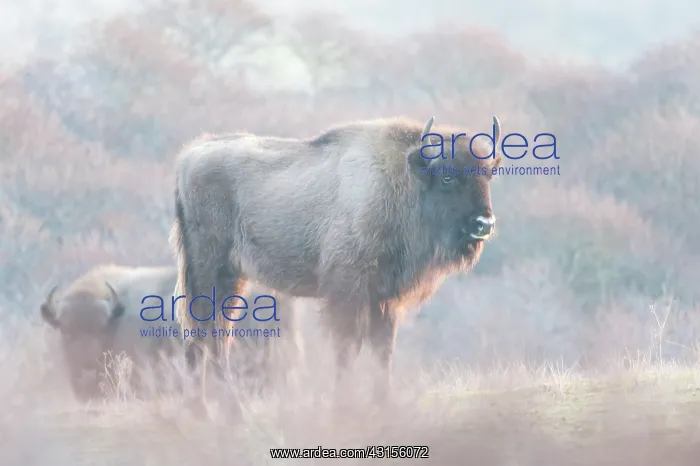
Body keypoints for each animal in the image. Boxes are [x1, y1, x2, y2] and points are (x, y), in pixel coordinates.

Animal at [171, 115, 502, 403]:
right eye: (447, 177)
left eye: (486, 175)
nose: (483, 223)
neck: (401, 180)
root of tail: (189, 156)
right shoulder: (347, 291)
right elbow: (347, 347)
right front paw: (342, 404)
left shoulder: (383, 298)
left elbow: (382, 350)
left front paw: (383, 402)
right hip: (208, 271)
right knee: (205, 334)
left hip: (229, 278)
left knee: (212, 335)